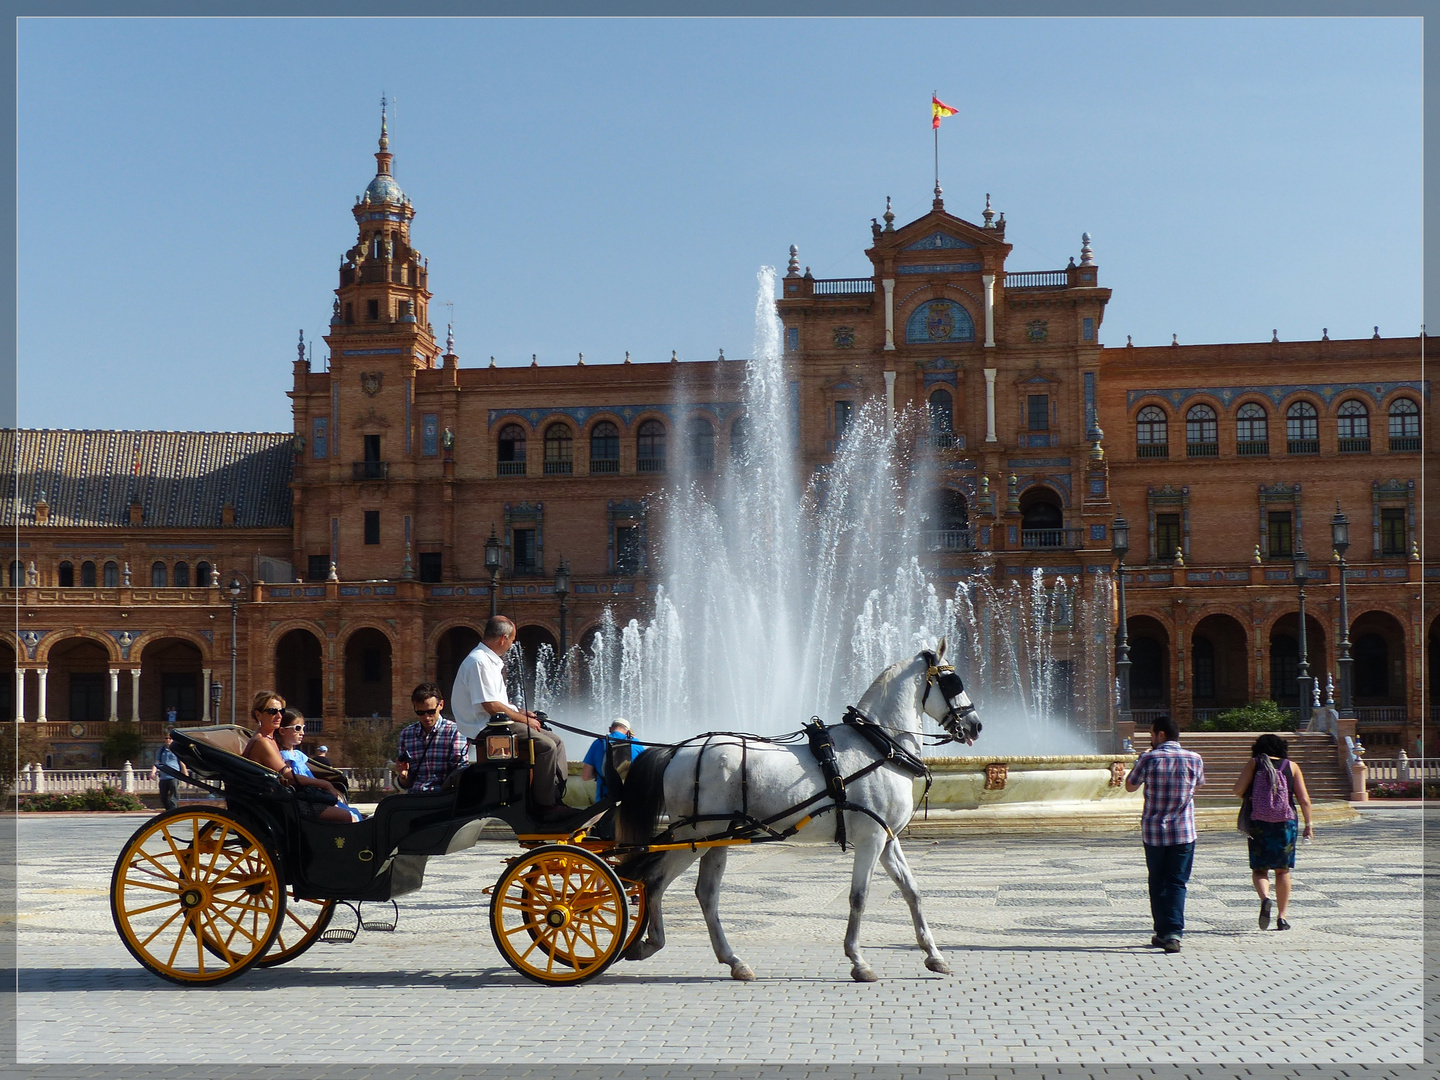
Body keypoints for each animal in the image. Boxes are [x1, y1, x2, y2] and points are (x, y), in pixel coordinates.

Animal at [613, 642, 984, 990]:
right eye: (953, 682)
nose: (976, 725)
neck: (878, 745)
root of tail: (678, 749)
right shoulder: (871, 838)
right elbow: (859, 896)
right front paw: (858, 960)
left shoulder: (887, 838)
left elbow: (912, 891)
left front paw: (934, 955)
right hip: (694, 836)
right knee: (655, 881)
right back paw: (652, 943)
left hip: (717, 838)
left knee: (705, 894)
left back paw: (733, 961)